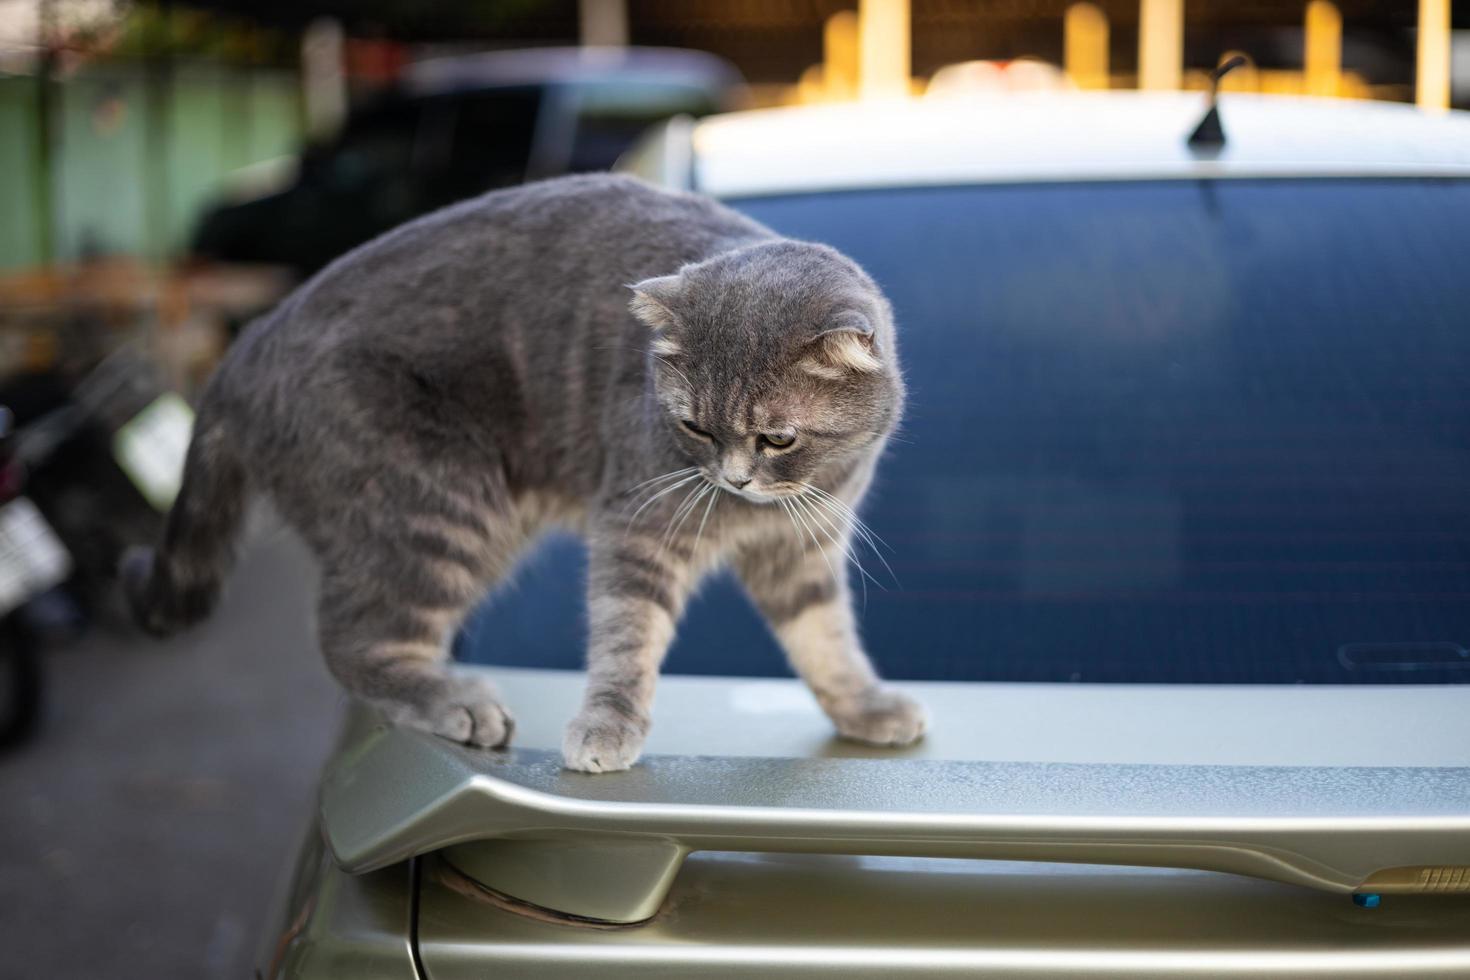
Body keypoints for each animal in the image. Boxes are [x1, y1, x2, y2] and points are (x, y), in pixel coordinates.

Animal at [129, 176, 929, 775]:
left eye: (777, 438)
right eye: (696, 427)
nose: (732, 480)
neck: (766, 506)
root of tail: (249, 346)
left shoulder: (802, 548)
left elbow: (824, 636)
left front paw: (865, 707)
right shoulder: (637, 525)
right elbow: (627, 633)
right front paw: (607, 726)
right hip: (439, 510)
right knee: (353, 640)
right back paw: (454, 699)